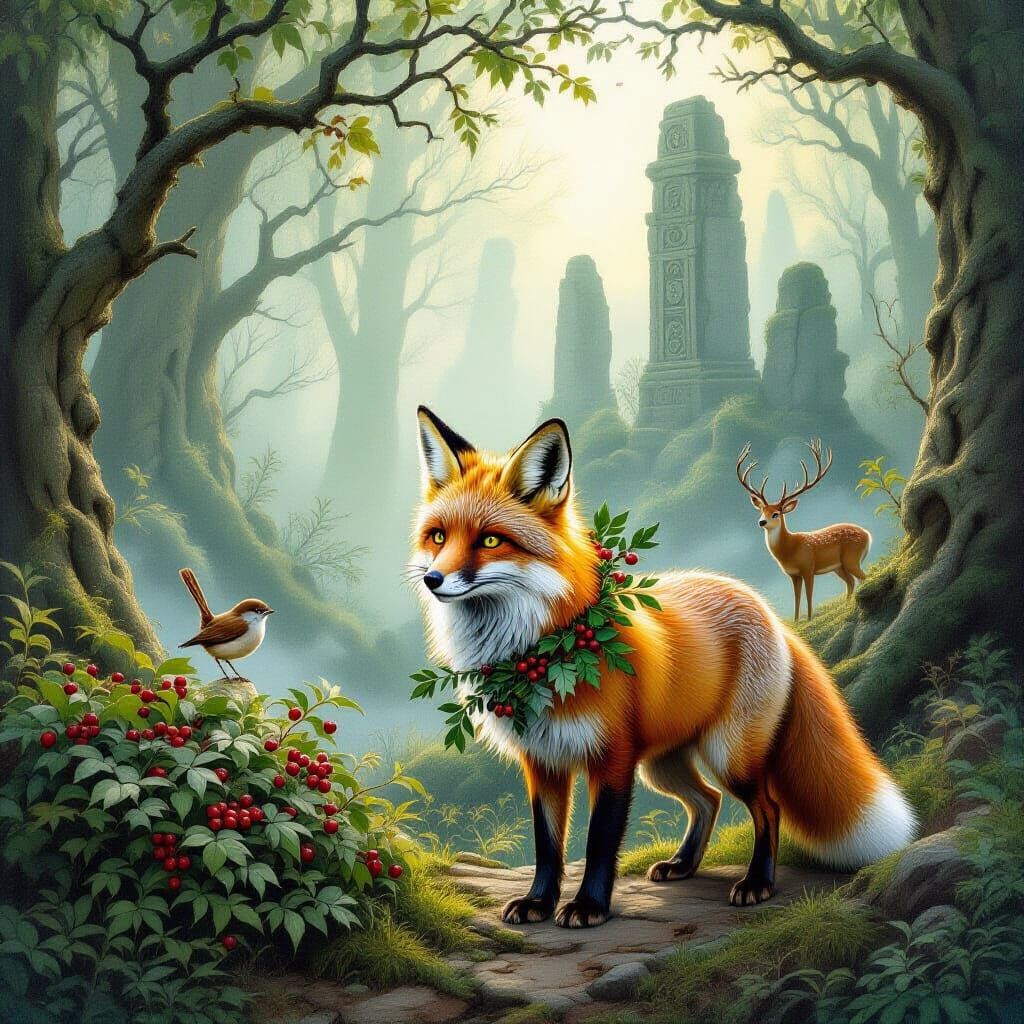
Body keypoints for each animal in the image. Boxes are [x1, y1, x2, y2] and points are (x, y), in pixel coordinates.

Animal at [411, 406, 917, 929]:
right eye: (438, 537)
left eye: (491, 540)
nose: (433, 579)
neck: (544, 654)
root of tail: (765, 608)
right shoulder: (543, 762)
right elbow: (547, 844)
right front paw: (538, 901)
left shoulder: (612, 758)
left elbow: (599, 841)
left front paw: (589, 906)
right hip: (663, 765)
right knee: (708, 800)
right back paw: (682, 864)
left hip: (728, 754)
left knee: (768, 807)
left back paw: (757, 883)